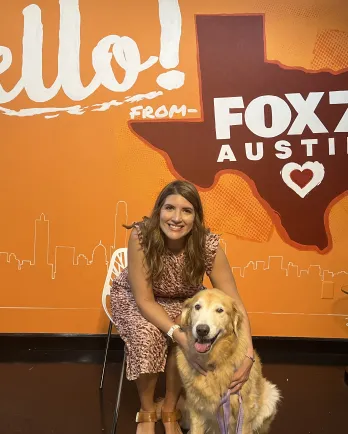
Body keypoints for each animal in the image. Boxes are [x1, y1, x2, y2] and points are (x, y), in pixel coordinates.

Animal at [175, 288, 282, 434]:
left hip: (271, 396)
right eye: (197, 307)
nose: (202, 329)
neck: (214, 362)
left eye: (220, 310)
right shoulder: (195, 408)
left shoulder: (244, 410)